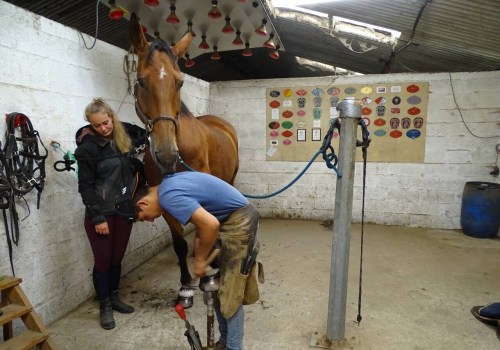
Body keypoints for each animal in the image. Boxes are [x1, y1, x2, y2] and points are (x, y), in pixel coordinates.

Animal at [128, 12, 239, 288]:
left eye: (179, 83)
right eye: (141, 82)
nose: (166, 155)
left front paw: (211, 270)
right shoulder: (165, 202)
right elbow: (179, 243)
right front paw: (186, 280)